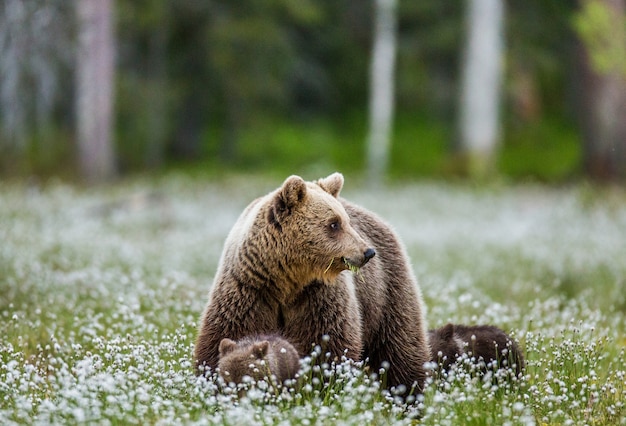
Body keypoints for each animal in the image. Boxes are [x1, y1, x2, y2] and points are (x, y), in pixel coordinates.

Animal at [194, 171, 428, 394]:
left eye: (346, 222)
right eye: (334, 223)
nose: (368, 252)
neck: (286, 279)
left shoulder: (317, 295)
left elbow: (327, 343)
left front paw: (324, 385)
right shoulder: (249, 290)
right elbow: (228, 334)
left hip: (387, 290)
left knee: (399, 347)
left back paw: (408, 393)